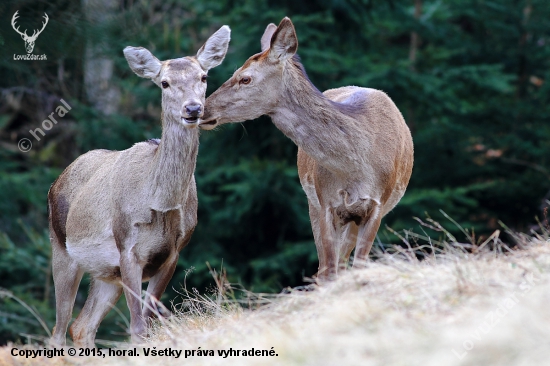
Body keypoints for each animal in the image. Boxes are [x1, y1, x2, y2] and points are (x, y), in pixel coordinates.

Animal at [48, 26, 232, 348]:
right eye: (164, 82)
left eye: (203, 77)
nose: (193, 108)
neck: (159, 203)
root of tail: (56, 181)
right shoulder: (128, 248)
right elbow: (137, 327)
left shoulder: (173, 253)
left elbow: (149, 323)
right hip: (62, 248)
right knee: (57, 333)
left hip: (107, 275)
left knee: (81, 326)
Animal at [202, 17, 414, 282]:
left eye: (245, 78)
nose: (200, 109)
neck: (357, 169)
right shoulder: (325, 202)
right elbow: (328, 270)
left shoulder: (377, 205)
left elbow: (358, 265)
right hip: (312, 202)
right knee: (326, 267)